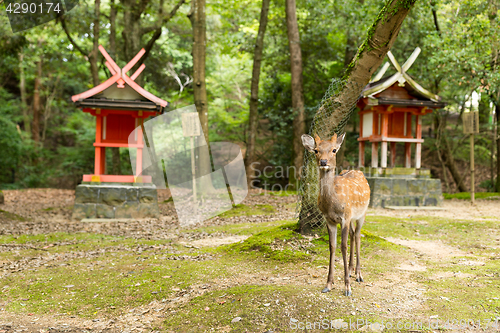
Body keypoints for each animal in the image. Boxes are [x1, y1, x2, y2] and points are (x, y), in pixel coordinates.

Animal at [300, 132, 372, 296]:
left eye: (334, 150)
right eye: (316, 150)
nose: (323, 161)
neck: (332, 203)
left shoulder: (345, 217)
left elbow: (343, 246)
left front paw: (347, 288)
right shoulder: (330, 219)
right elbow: (332, 246)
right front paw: (328, 284)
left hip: (362, 213)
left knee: (358, 235)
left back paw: (358, 275)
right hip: (352, 216)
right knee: (353, 234)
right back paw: (351, 270)